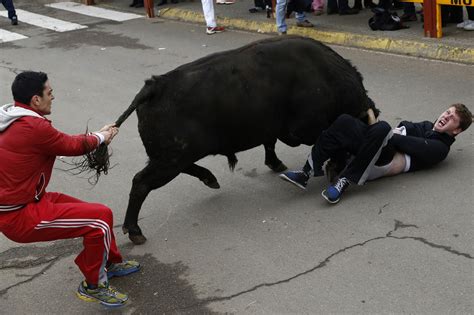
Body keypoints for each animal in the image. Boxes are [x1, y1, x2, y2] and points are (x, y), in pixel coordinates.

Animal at [105, 36, 380, 244]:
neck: (326, 77)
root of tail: (154, 86)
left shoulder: (274, 128)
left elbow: (270, 143)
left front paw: (276, 164)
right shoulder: (303, 129)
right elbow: (328, 142)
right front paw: (334, 166)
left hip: (171, 157)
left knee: (179, 169)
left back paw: (210, 178)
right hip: (169, 160)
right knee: (141, 183)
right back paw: (135, 231)